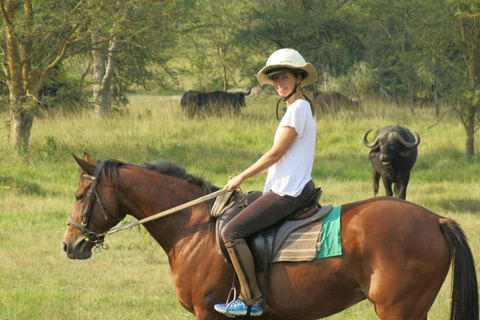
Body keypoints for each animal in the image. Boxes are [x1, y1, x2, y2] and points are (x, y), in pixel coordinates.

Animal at [62, 154, 478, 318]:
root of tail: (436, 219)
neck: (192, 228)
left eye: (81, 196)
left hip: (398, 309)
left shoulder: (206, 312)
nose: (70, 244)